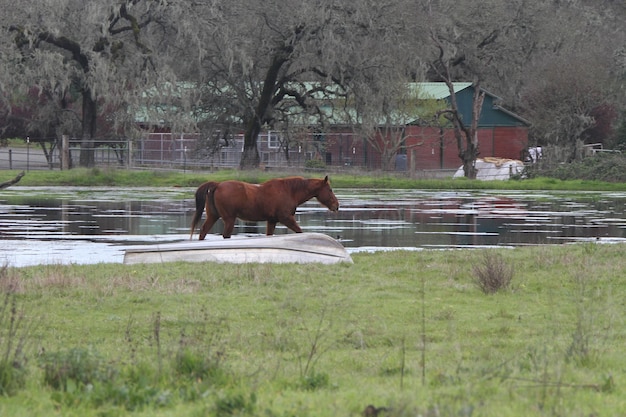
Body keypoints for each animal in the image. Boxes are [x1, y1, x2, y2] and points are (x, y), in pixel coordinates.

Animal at [189, 176, 338, 239]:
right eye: (330, 189)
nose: (336, 205)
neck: (289, 191)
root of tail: (218, 185)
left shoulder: (272, 221)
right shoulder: (286, 218)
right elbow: (299, 231)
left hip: (213, 216)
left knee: (203, 232)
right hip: (229, 219)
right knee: (225, 235)